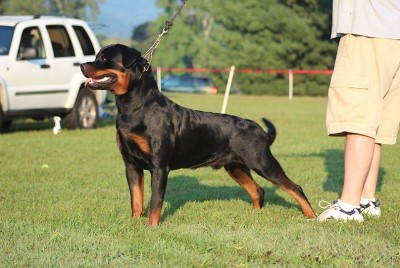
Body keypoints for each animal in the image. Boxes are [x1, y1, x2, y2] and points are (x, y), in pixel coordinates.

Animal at [81, 44, 318, 226]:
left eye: (104, 59)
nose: (82, 65)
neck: (136, 107)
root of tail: (259, 129)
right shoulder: (131, 165)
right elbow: (136, 199)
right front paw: (134, 224)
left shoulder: (159, 167)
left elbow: (155, 202)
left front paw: (151, 227)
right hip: (235, 167)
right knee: (258, 190)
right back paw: (254, 216)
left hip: (262, 163)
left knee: (294, 187)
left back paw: (312, 216)